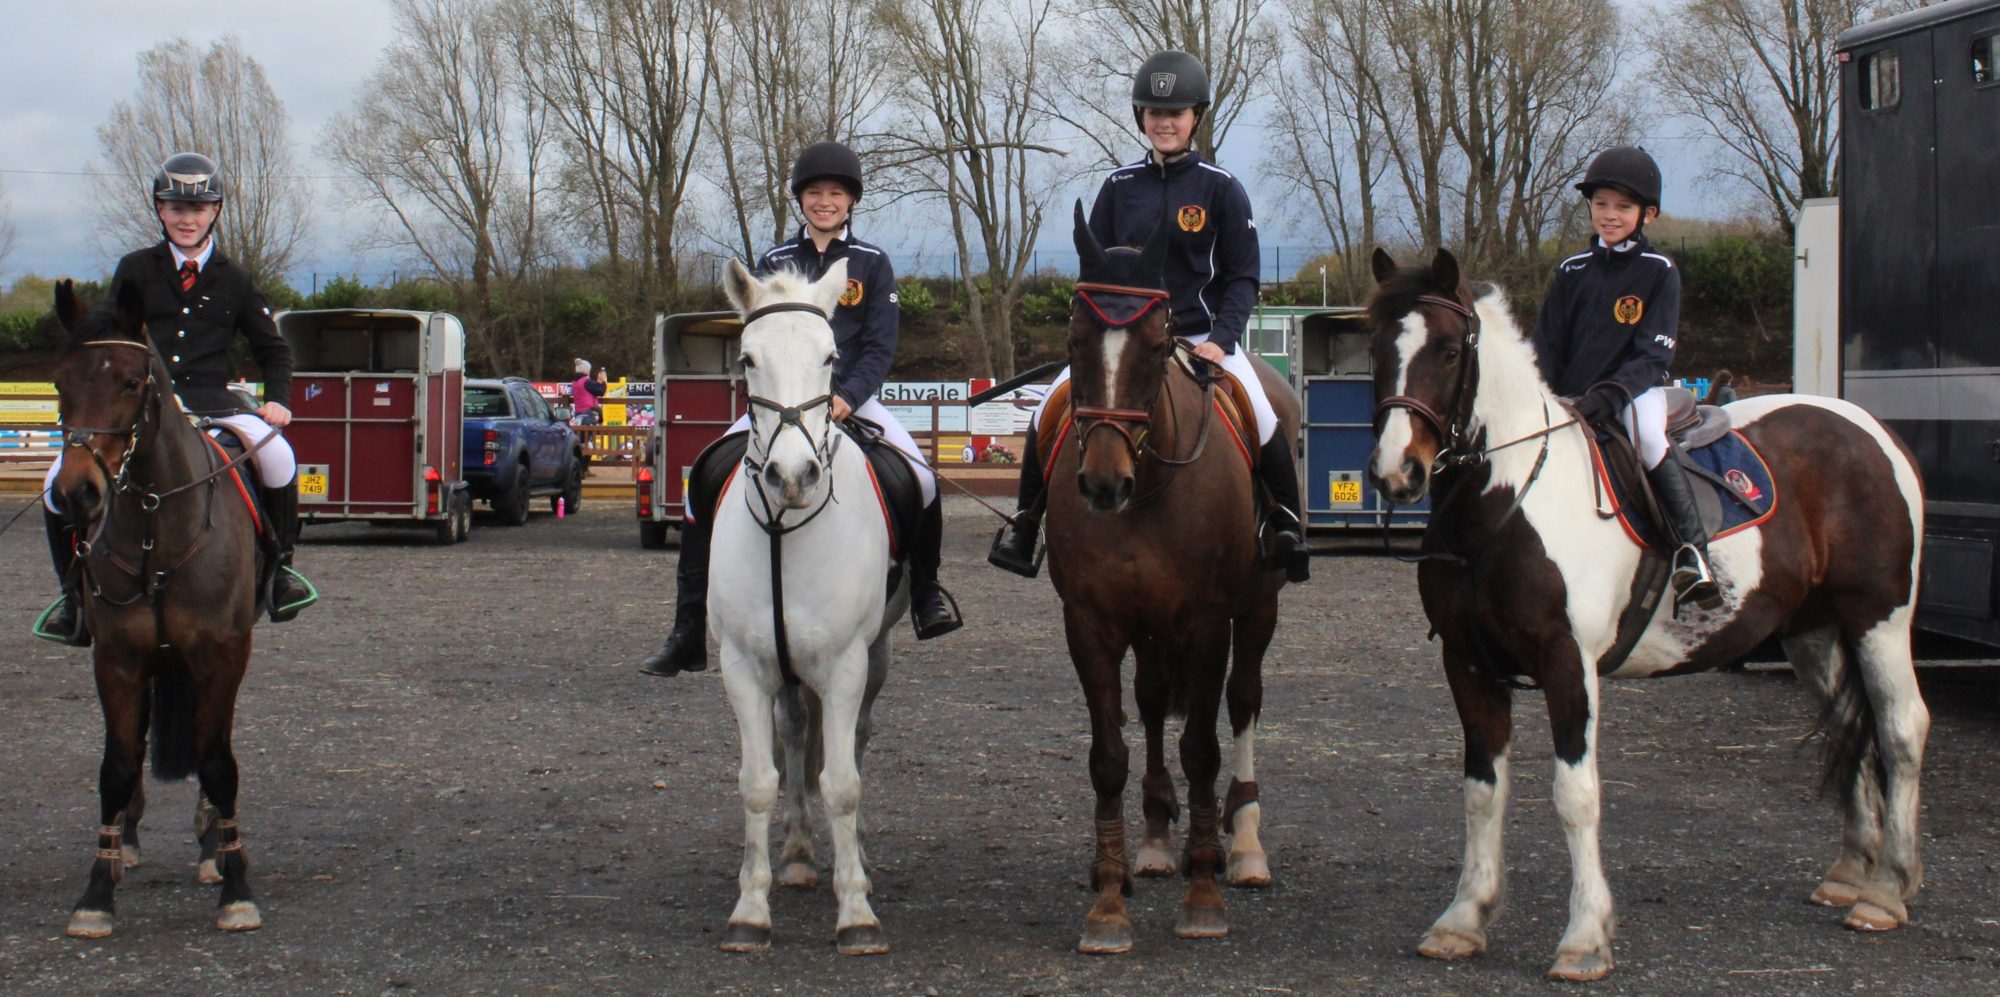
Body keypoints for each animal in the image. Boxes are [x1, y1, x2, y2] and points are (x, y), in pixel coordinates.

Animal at [48, 279, 266, 937]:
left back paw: (211, 845)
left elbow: (218, 762)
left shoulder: (221, 654)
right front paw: (97, 892)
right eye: (60, 383)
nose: (77, 495)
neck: (156, 526)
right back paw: (129, 841)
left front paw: (236, 885)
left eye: (128, 382)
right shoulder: (118, 658)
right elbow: (117, 766)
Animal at [706, 258, 908, 956]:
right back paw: (795, 854)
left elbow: (843, 784)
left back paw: (861, 861)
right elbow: (757, 781)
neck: (785, 530)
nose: (792, 478)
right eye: (747, 359)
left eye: (830, 357)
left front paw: (857, 915)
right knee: (795, 736)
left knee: (858, 740)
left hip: (876, 655)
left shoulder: (846, 664)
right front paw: (748, 910)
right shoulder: (743, 666)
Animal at [1046, 203, 1297, 953]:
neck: (1150, 482)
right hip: (1151, 625)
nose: (1103, 484)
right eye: (1073, 338)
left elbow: (1204, 749)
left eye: (1158, 346)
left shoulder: (1210, 621)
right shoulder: (1091, 622)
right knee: (1155, 700)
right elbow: (1108, 755)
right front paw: (1108, 901)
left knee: (1243, 703)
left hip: (1258, 610)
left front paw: (1205, 895)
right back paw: (1158, 841)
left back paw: (1241, 847)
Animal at [1365, 249, 1927, 981]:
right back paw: (1848, 875)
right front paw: (1463, 919)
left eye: (1451, 349)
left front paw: (1584, 938)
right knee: (1848, 723)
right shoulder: (1468, 664)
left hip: (1879, 620)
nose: (1396, 472)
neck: (1506, 501)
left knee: (1901, 728)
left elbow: (1575, 795)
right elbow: (1482, 790)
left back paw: (1886, 890)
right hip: (1812, 632)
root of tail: (1871, 431)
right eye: (1375, 345)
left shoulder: (1567, 665)